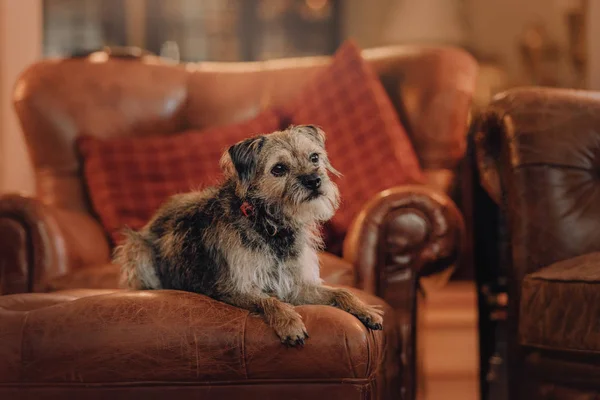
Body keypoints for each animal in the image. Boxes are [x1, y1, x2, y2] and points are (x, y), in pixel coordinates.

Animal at [115, 126, 382, 346]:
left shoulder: (296, 285)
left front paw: (366, 309)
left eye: (314, 157)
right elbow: (270, 300)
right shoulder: (234, 288)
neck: (270, 225)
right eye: (279, 169)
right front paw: (290, 323)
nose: (314, 180)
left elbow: (341, 292)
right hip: (137, 250)